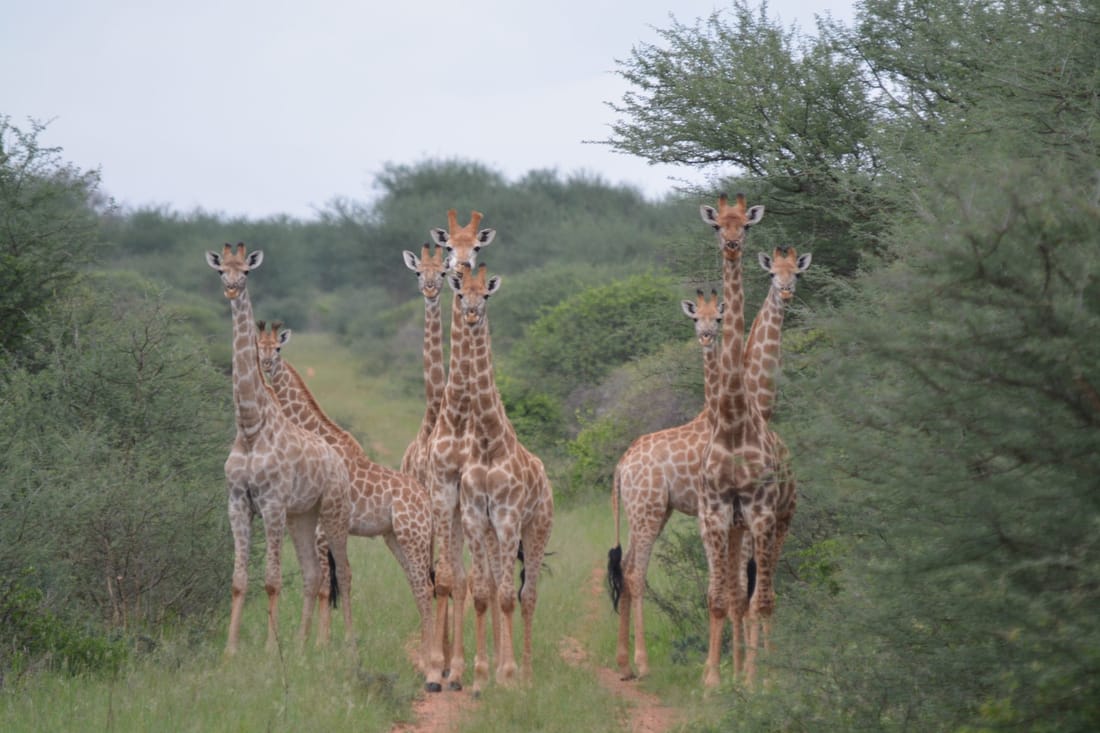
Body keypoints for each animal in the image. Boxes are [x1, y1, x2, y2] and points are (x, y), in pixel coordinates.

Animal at [204, 243, 353, 655]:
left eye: (246, 272)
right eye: (221, 270)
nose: (232, 289)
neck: (251, 427)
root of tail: (339, 460)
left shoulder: (271, 504)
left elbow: (271, 579)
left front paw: (272, 649)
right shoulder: (238, 503)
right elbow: (239, 580)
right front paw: (231, 650)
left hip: (332, 514)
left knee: (343, 573)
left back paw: (344, 643)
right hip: (302, 517)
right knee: (313, 574)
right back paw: (303, 645)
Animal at [254, 322, 436, 684]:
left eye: (278, 348)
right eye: (258, 347)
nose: (266, 364)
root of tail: (426, 502)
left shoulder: (322, 528)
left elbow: (326, 586)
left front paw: (320, 646)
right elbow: (328, 584)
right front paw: (320, 643)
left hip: (413, 536)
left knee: (424, 587)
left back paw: (430, 659)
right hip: (395, 538)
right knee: (417, 584)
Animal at [606, 289, 724, 681]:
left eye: (717, 318)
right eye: (695, 318)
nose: (706, 335)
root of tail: (621, 467)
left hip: (647, 512)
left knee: (625, 567)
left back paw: (625, 664)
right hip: (649, 511)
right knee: (635, 572)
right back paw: (642, 663)